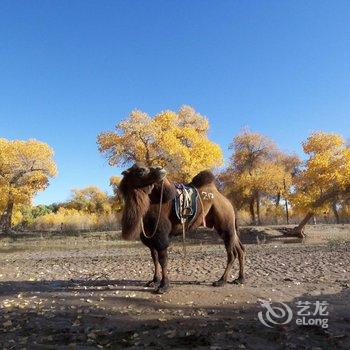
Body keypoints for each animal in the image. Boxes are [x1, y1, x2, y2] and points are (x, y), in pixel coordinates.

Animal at [120, 163, 246, 292]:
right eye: (141, 170)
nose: (160, 169)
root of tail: (227, 201)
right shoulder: (150, 237)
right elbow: (154, 258)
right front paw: (154, 281)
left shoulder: (161, 234)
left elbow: (162, 259)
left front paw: (164, 285)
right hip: (230, 228)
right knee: (240, 249)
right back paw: (240, 279)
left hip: (225, 224)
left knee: (231, 254)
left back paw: (221, 280)